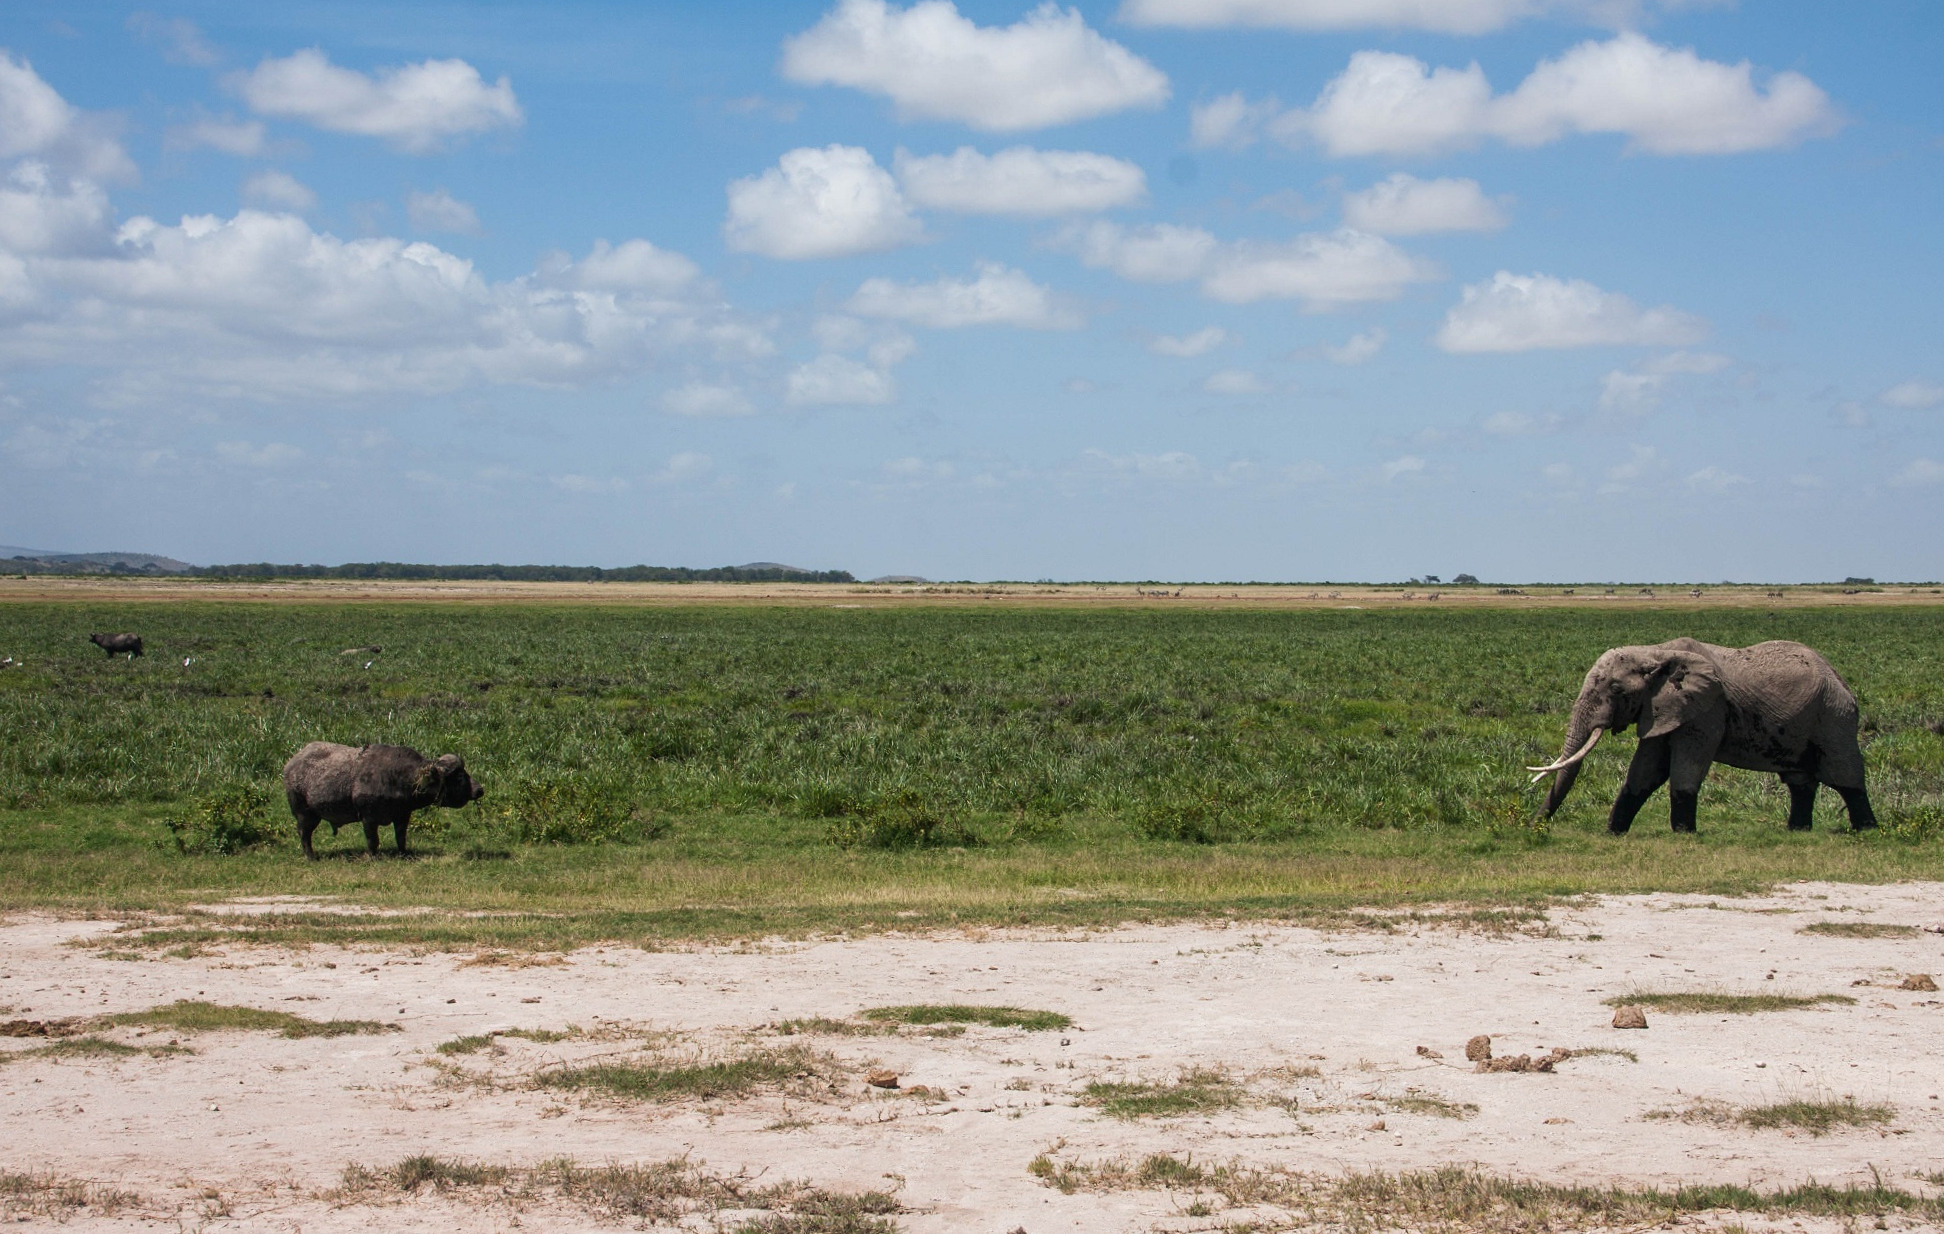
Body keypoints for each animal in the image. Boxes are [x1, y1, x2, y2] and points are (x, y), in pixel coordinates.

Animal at [1524, 641, 1874, 835]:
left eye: (1615, 690)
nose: (1532, 827)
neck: (1655, 651)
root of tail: (1839, 677)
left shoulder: (1707, 709)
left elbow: (1686, 769)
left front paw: (1683, 835)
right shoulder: (1661, 709)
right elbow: (1644, 773)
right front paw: (1613, 834)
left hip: (1833, 717)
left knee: (1846, 776)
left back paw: (1868, 832)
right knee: (1800, 781)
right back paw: (1797, 833)